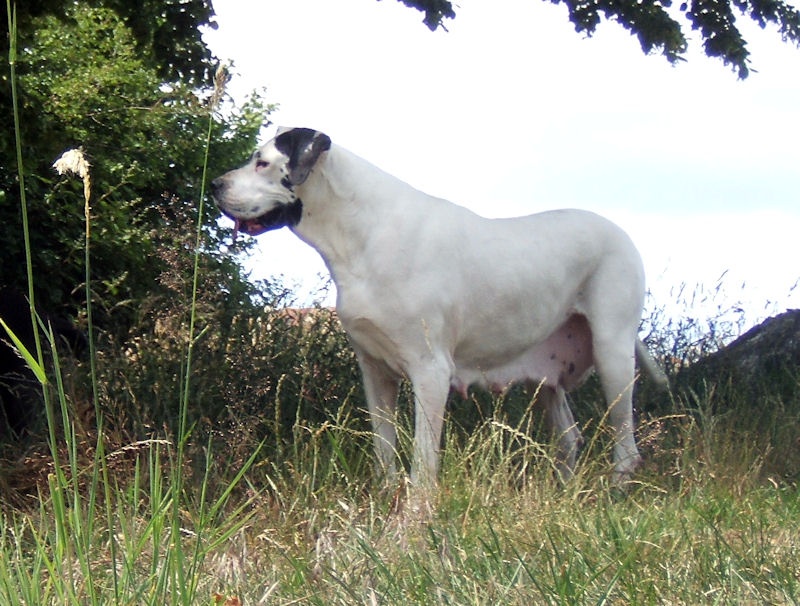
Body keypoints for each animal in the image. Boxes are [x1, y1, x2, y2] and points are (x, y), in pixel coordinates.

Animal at [209, 128, 664, 490]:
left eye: (262, 162)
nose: (214, 183)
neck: (361, 232)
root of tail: (620, 231)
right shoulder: (375, 372)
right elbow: (384, 450)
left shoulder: (430, 372)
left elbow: (423, 463)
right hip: (545, 379)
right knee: (569, 439)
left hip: (613, 356)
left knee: (626, 449)